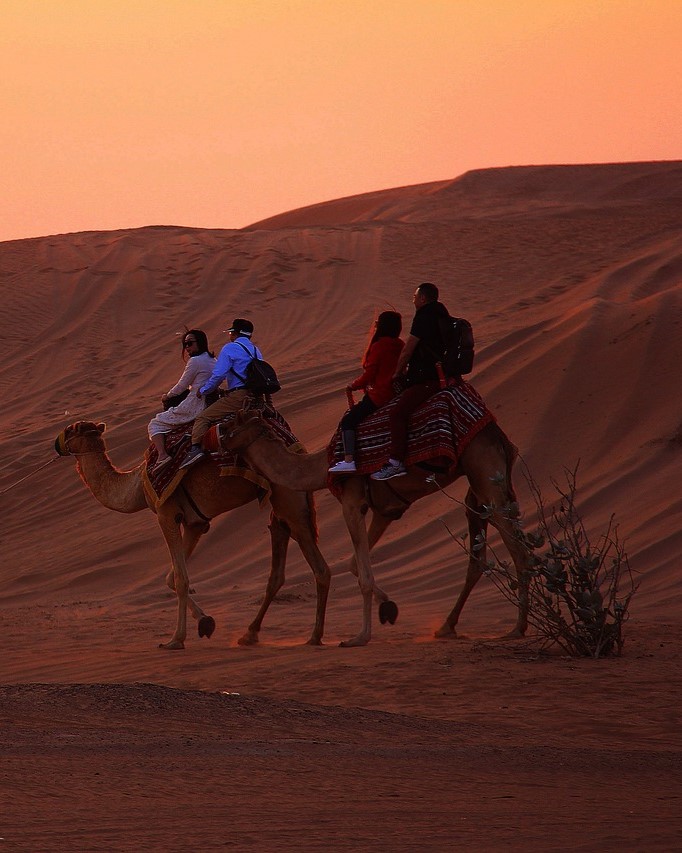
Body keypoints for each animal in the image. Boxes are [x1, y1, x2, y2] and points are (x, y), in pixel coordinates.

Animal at [54, 422, 350, 648]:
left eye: (70, 430)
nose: (56, 444)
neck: (136, 484)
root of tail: (299, 450)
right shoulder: (196, 522)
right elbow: (172, 577)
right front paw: (206, 623)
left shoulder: (166, 513)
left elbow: (181, 578)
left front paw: (175, 640)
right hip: (282, 508)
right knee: (279, 569)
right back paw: (250, 634)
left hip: (288, 500)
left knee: (319, 568)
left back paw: (314, 636)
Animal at [218, 412, 532, 644]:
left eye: (232, 423)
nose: (215, 433)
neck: (323, 466)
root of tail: (499, 435)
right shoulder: (386, 509)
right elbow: (355, 565)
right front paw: (388, 608)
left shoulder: (351, 501)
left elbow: (363, 575)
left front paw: (361, 636)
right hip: (478, 491)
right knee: (478, 556)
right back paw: (447, 626)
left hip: (484, 473)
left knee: (518, 550)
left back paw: (517, 628)